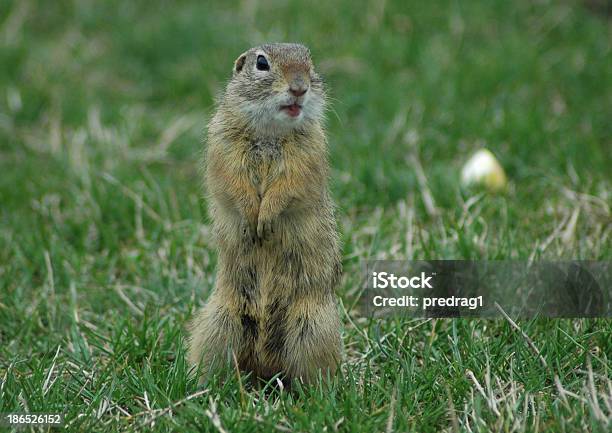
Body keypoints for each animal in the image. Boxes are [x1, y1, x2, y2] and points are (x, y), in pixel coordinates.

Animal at [189, 42, 342, 384]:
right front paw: (251, 219)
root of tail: (264, 365)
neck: (270, 132)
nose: (299, 88)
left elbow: (290, 186)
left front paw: (266, 219)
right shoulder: (223, 145)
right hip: (219, 323)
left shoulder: (308, 153)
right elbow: (231, 181)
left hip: (313, 326)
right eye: (261, 64)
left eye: (310, 63)